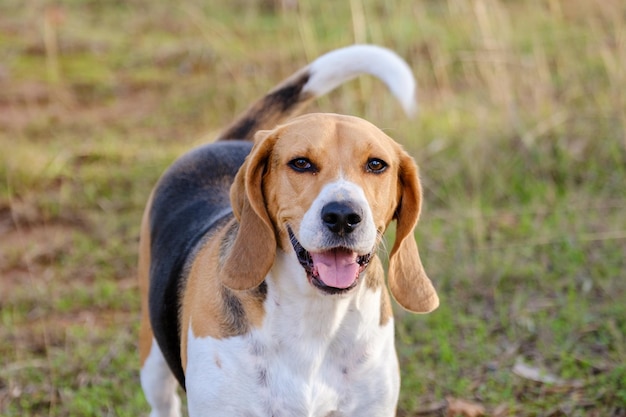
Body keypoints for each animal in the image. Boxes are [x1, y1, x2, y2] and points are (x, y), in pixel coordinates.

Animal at [138, 44, 436, 416]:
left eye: (376, 164)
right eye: (301, 163)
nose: (343, 216)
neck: (315, 316)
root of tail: (223, 143)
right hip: (153, 364)